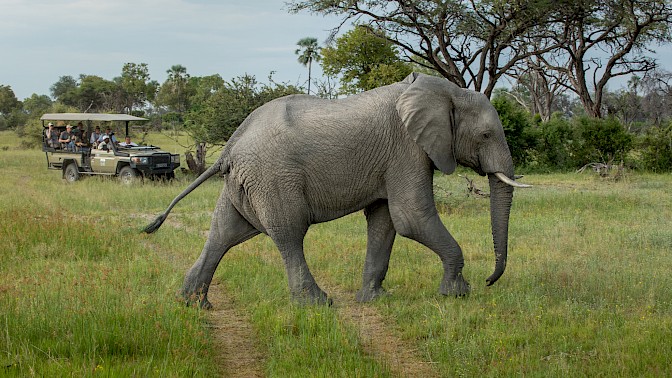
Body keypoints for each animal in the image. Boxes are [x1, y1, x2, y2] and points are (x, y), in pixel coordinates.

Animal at [146, 72, 532, 308]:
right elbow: (410, 217)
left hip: (245, 182)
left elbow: (385, 221)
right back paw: (317, 304)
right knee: (289, 233)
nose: (489, 281)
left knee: (224, 233)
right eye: (485, 135)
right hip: (273, 179)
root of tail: (229, 147)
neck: (445, 90)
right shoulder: (407, 149)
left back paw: (193, 305)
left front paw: (374, 300)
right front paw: (456, 294)